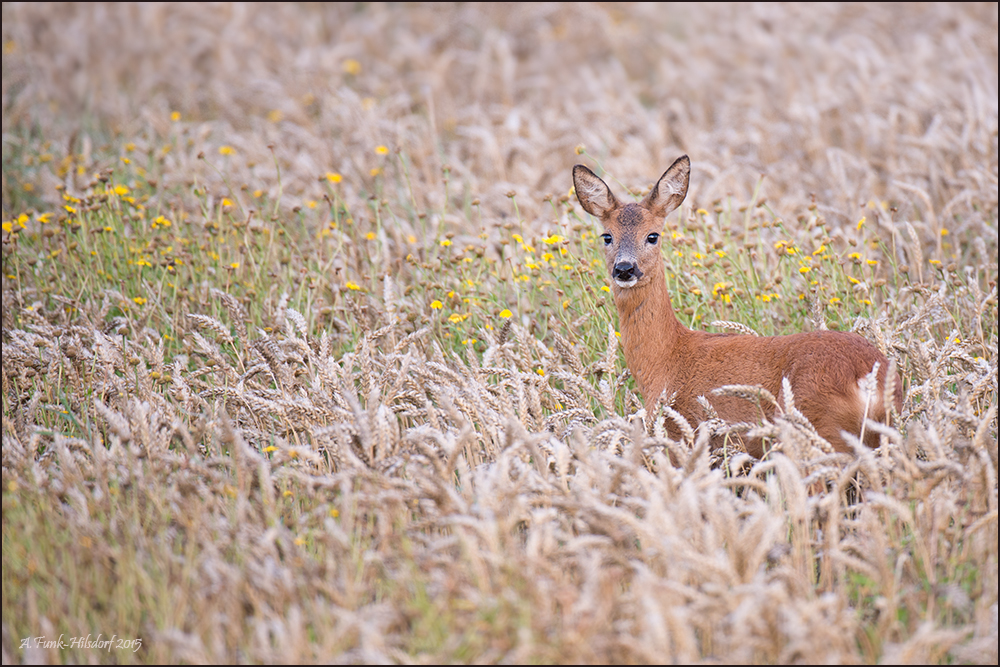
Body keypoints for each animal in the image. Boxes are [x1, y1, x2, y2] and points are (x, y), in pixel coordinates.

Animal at [576, 157, 904, 460]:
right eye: (607, 236)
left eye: (652, 236)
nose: (625, 269)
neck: (666, 358)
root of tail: (868, 378)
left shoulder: (684, 431)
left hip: (819, 429)